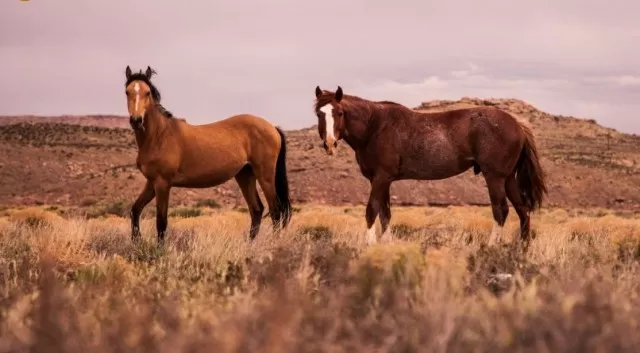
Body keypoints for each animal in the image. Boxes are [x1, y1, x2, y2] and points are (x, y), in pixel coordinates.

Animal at [123, 65, 292, 245]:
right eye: (127, 92)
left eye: (147, 92)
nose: (136, 120)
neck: (159, 135)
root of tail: (272, 127)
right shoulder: (152, 183)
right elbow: (135, 210)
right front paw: (136, 241)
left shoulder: (163, 184)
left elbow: (161, 222)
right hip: (245, 175)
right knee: (257, 209)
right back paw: (249, 245)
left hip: (265, 176)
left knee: (275, 212)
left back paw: (272, 244)